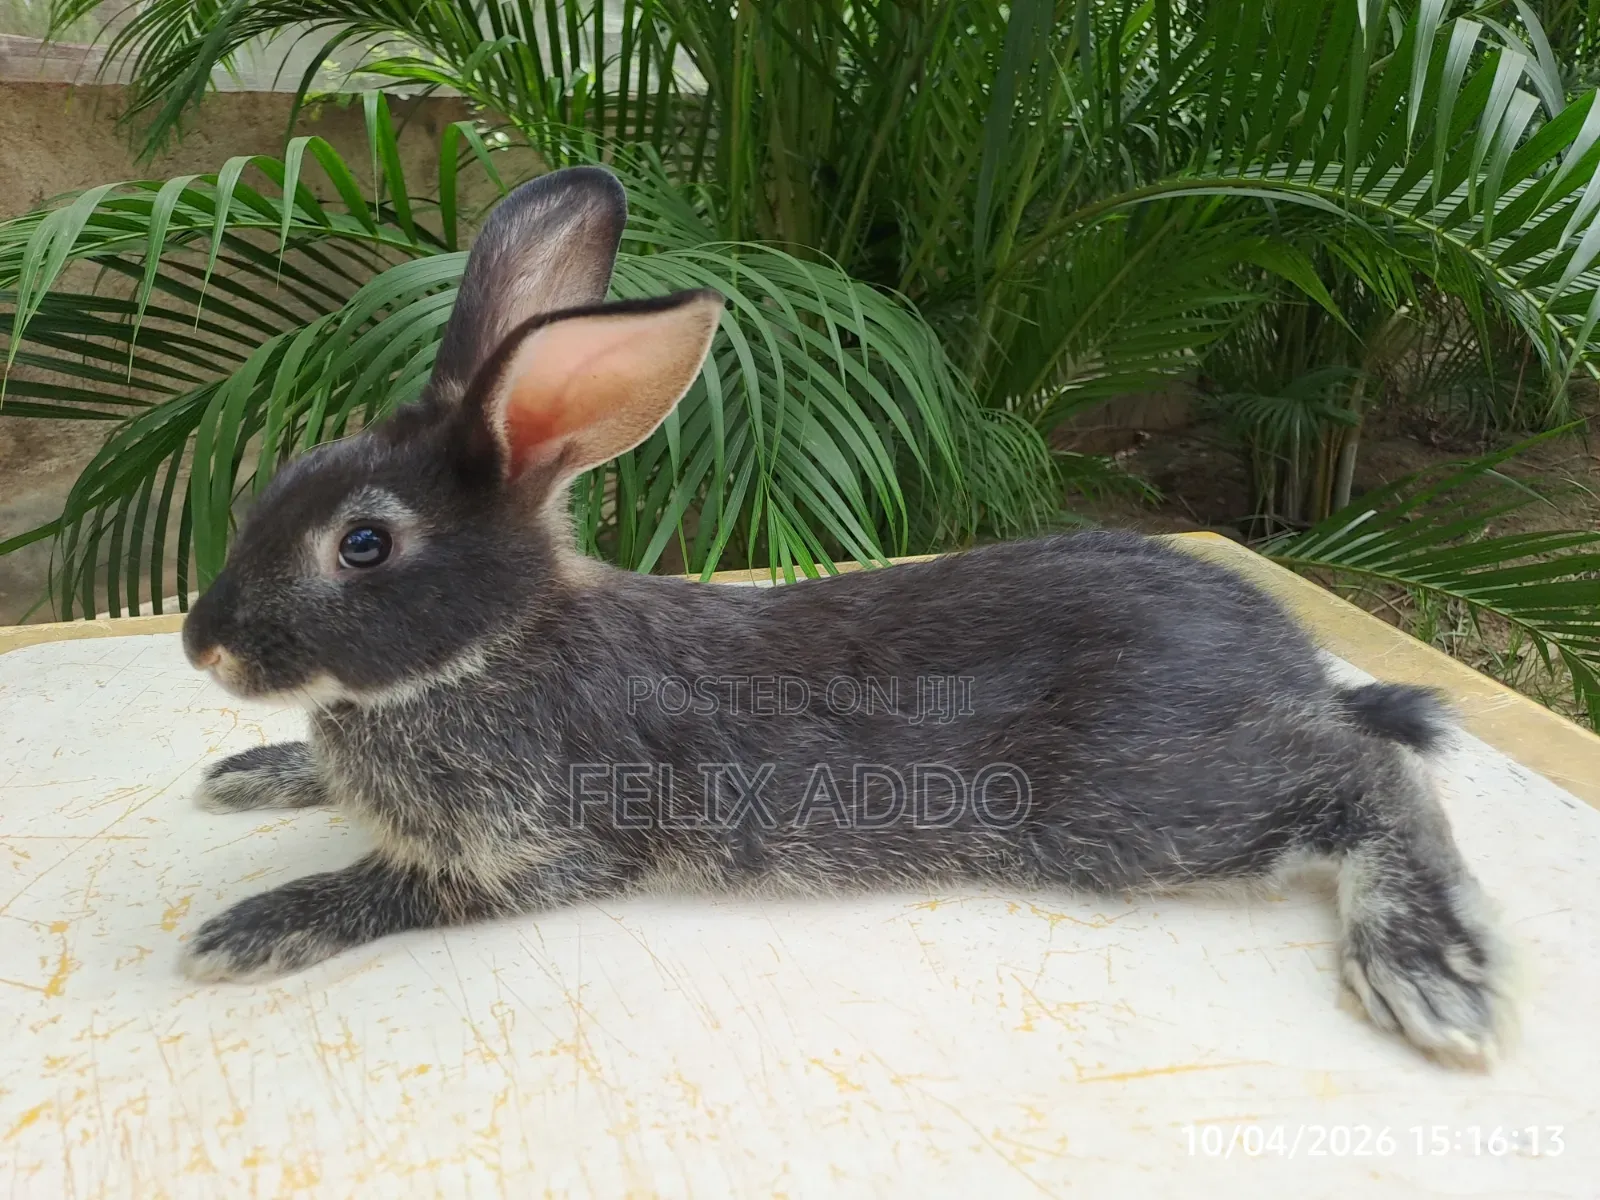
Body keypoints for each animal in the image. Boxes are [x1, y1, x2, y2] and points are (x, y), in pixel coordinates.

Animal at [179, 166, 1510, 1069]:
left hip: (1132, 805)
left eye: (363, 545)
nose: (204, 645)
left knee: (1368, 776)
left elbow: (406, 886)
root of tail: (1288, 658)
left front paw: (247, 929)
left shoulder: (543, 846)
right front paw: (250, 774)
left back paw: (1428, 972)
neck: (488, 647)